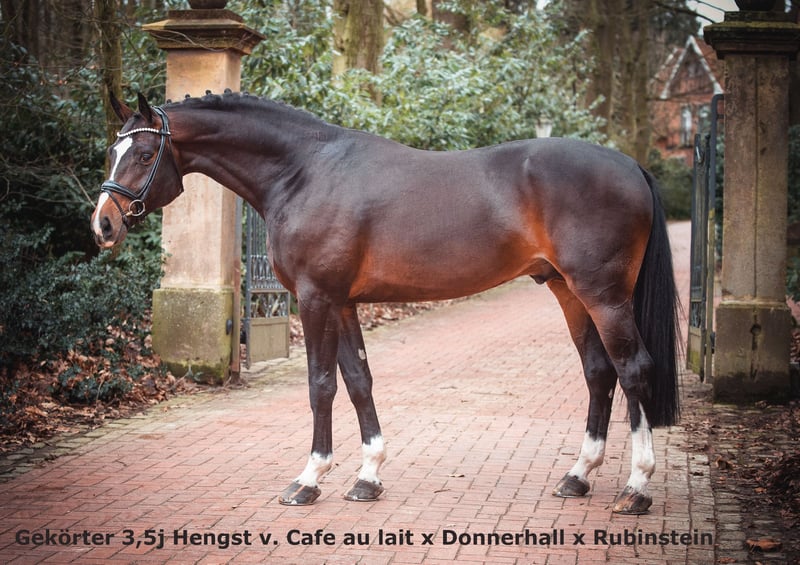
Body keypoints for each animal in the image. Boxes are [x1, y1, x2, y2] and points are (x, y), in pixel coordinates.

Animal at [91, 91, 679, 515]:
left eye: (144, 153)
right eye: (111, 152)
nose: (103, 224)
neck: (303, 172)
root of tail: (630, 165)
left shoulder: (316, 298)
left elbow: (321, 385)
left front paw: (309, 479)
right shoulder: (344, 303)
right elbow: (358, 381)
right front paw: (368, 477)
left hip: (603, 296)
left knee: (632, 368)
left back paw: (637, 489)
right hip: (567, 291)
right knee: (599, 371)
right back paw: (578, 476)